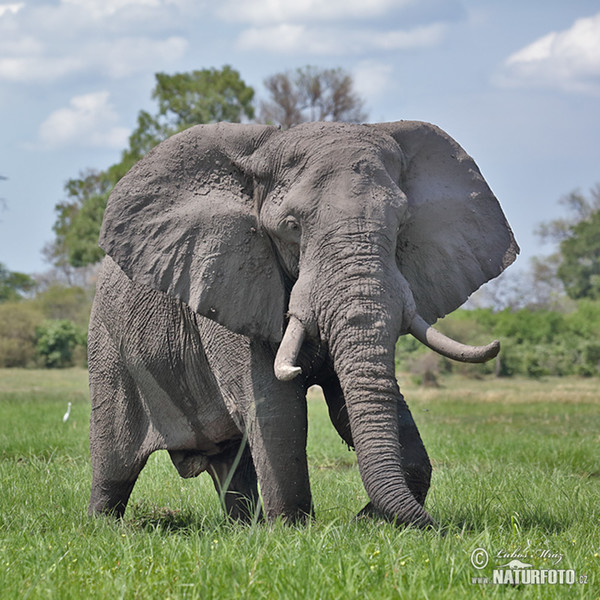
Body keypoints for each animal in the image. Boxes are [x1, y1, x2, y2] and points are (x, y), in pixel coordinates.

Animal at [86, 119, 516, 528]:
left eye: (401, 224)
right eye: (292, 226)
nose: (443, 529)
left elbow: (355, 403)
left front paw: (365, 521)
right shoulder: (227, 280)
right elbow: (276, 407)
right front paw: (294, 531)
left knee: (232, 465)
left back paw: (243, 528)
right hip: (108, 345)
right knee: (114, 461)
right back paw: (104, 528)